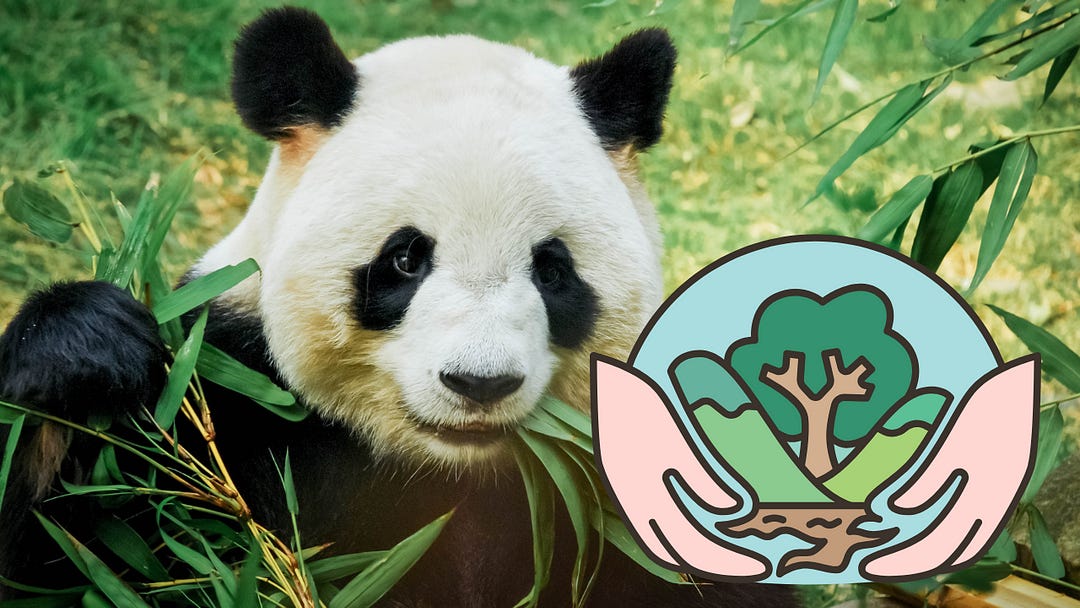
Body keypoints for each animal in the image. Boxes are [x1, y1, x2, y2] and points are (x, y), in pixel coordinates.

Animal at [0, 8, 798, 607]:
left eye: (552, 270)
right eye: (406, 260)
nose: (480, 384)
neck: (446, 471)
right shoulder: (232, 397)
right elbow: (85, 552)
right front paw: (85, 353)